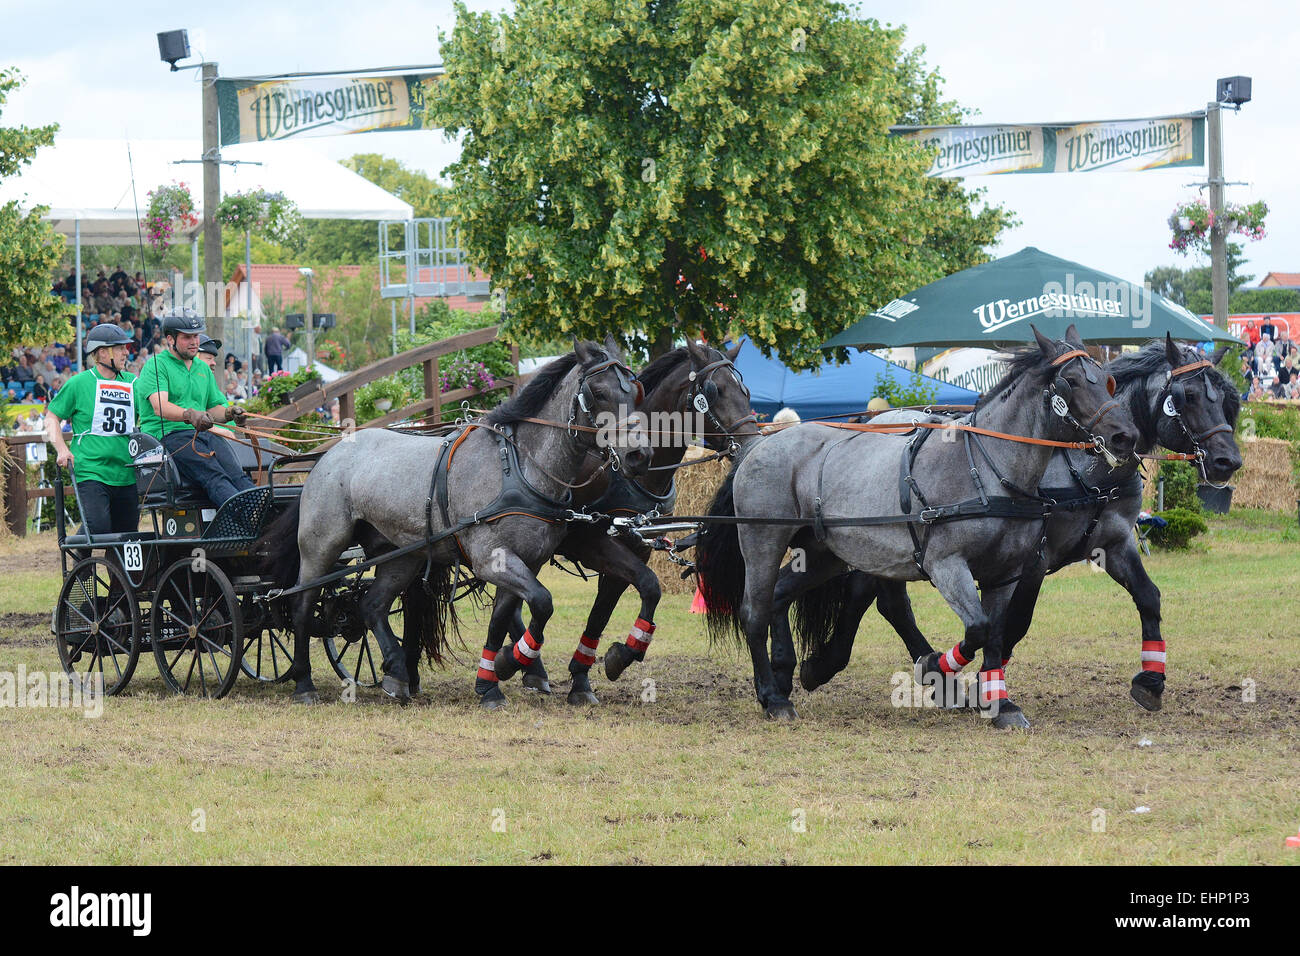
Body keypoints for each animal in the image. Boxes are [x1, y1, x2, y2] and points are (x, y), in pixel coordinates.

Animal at [261, 340, 650, 707]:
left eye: (635, 391)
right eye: (598, 392)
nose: (638, 455)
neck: (518, 467)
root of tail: (327, 456)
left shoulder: (525, 562)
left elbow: (502, 620)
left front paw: (491, 681)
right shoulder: (492, 560)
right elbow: (542, 603)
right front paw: (510, 664)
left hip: (401, 555)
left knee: (372, 605)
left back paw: (397, 673)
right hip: (322, 546)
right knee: (301, 605)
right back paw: (304, 683)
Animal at [696, 327, 1133, 723]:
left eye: (1107, 380)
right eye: (1071, 381)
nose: (1124, 435)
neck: (988, 466)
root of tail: (759, 444)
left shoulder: (1005, 574)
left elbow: (994, 634)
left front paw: (1002, 705)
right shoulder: (946, 565)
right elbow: (977, 628)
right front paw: (937, 667)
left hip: (824, 553)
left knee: (780, 595)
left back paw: (791, 675)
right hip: (763, 539)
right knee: (754, 609)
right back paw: (773, 697)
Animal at [774, 335, 1242, 723]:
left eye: (1228, 399)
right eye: (1188, 395)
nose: (1228, 461)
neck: (1081, 466)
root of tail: (873, 419)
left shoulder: (1113, 542)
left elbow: (1148, 597)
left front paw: (1150, 681)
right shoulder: (1035, 556)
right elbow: (1014, 623)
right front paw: (985, 683)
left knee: (876, 597)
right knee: (877, 598)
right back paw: (845, 667)